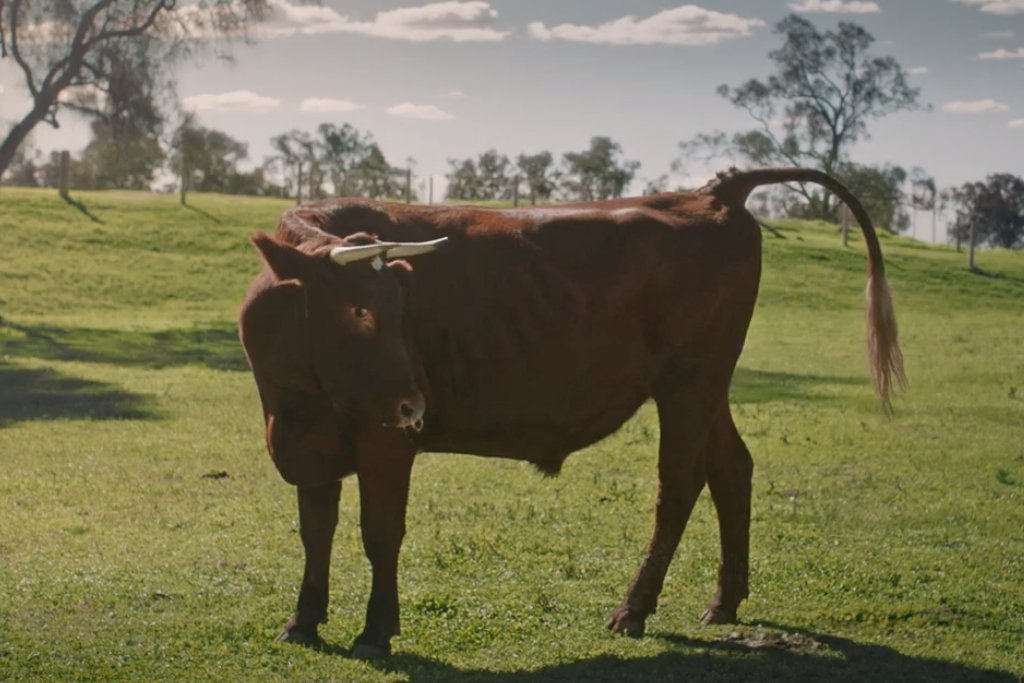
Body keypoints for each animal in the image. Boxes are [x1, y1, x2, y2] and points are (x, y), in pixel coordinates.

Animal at [238, 167, 905, 659]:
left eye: (399, 308)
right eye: (358, 310)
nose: (415, 404)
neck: (297, 403)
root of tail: (711, 194)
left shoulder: (384, 443)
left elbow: (379, 533)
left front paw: (376, 633)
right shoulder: (312, 445)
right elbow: (315, 532)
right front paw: (302, 622)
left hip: (691, 384)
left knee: (678, 484)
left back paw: (633, 609)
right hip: (705, 388)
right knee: (731, 469)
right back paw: (724, 601)